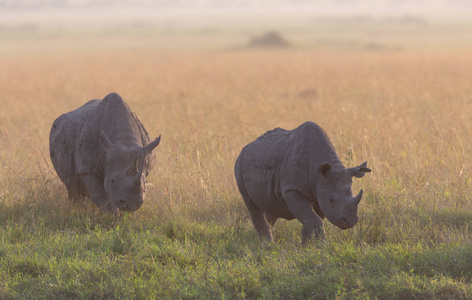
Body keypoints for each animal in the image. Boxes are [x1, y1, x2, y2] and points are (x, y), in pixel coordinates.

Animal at [234, 121, 370, 244]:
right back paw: (267, 245)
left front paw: (307, 247)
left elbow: (310, 220)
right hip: (239, 164)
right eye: (331, 200)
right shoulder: (293, 189)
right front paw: (322, 246)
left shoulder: (320, 191)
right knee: (252, 206)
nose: (350, 221)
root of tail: (245, 148)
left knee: (271, 206)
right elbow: (314, 220)